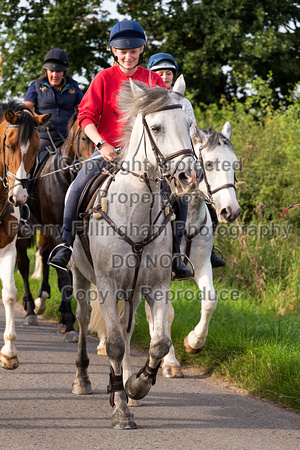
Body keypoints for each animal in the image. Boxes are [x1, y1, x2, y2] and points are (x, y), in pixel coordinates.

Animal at [16, 112, 94, 342]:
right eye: (84, 138)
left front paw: (64, 316)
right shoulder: (55, 231)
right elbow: (64, 278)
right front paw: (68, 323)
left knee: (42, 255)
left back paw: (42, 299)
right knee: (24, 264)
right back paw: (31, 309)